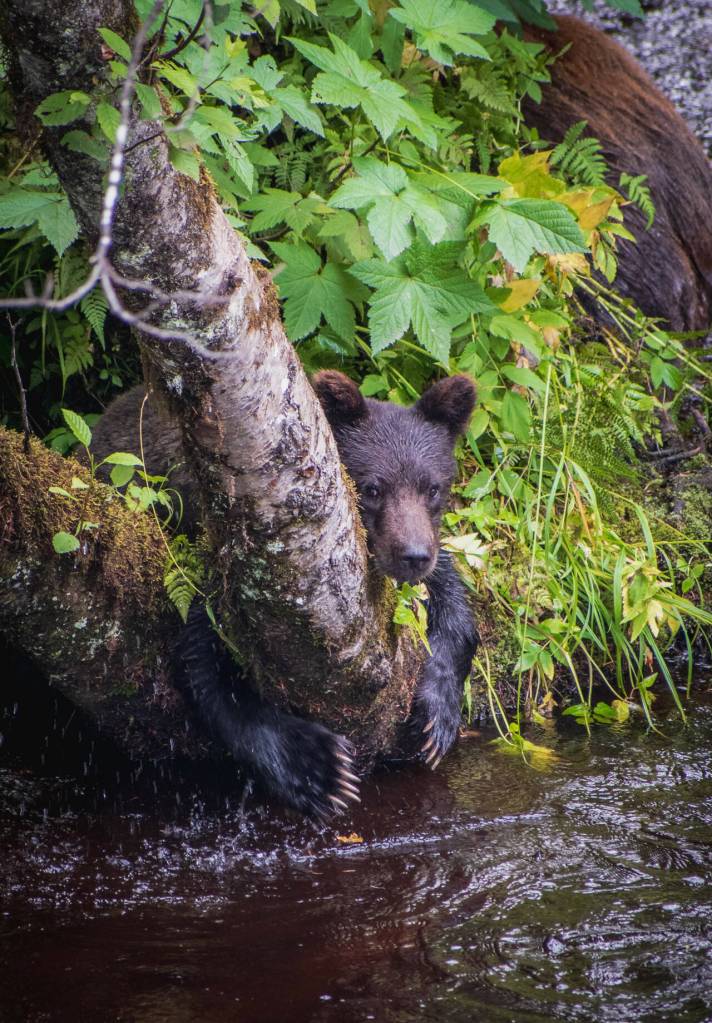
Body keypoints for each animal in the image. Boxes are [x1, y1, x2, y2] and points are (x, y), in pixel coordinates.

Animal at [89, 372, 479, 817]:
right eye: (372, 488)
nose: (413, 555)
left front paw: (437, 718)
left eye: (432, 487)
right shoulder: (222, 567)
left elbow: (455, 606)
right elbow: (203, 664)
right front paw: (319, 769)